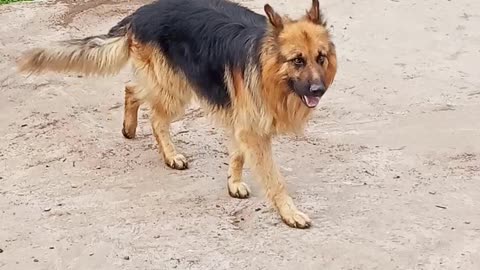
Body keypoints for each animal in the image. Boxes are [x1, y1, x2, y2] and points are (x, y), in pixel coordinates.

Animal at [15, 0, 338, 229]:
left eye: (320, 58)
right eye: (297, 60)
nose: (319, 90)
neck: (266, 67)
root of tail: (141, 13)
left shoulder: (243, 122)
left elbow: (237, 154)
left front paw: (233, 184)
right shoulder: (253, 131)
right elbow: (274, 179)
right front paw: (290, 212)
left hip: (169, 84)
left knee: (132, 89)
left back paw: (129, 128)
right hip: (175, 89)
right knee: (155, 116)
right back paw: (170, 155)